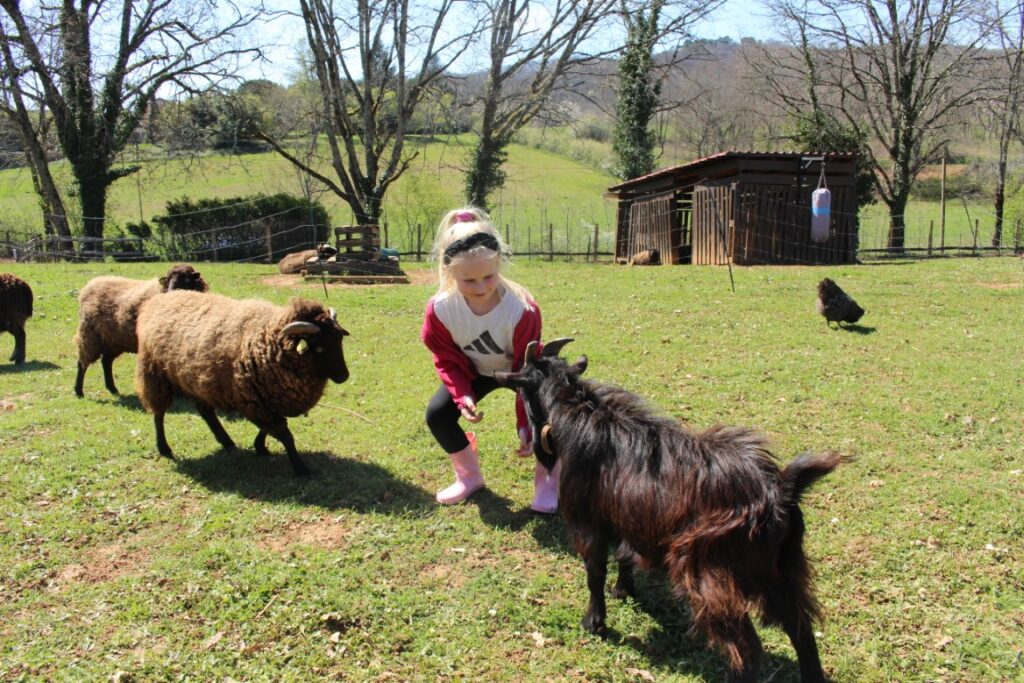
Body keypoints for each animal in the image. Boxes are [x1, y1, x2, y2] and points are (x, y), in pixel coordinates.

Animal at [73, 264, 207, 397]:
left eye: (187, 280)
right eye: (168, 281)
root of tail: (89, 285)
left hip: (114, 340)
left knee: (106, 361)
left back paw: (112, 388)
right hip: (90, 334)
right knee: (82, 363)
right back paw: (78, 391)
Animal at [134, 290, 350, 479]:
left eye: (339, 339)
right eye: (319, 347)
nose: (344, 377)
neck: (269, 342)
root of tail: (158, 300)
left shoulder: (263, 399)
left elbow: (270, 428)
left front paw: (260, 447)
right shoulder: (256, 399)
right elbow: (286, 435)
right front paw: (300, 468)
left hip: (197, 381)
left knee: (205, 411)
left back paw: (226, 441)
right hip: (155, 374)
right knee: (159, 413)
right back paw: (164, 448)